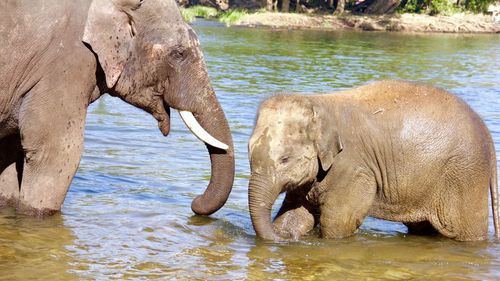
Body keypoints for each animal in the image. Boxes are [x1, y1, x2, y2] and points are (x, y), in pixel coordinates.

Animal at [248, 80, 498, 240]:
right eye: (248, 153)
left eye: (285, 159)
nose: (287, 239)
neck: (317, 103)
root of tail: (487, 134)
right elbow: (296, 215)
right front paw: (285, 231)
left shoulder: (352, 167)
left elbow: (338, 222)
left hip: (465, 174)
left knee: (466, 231)